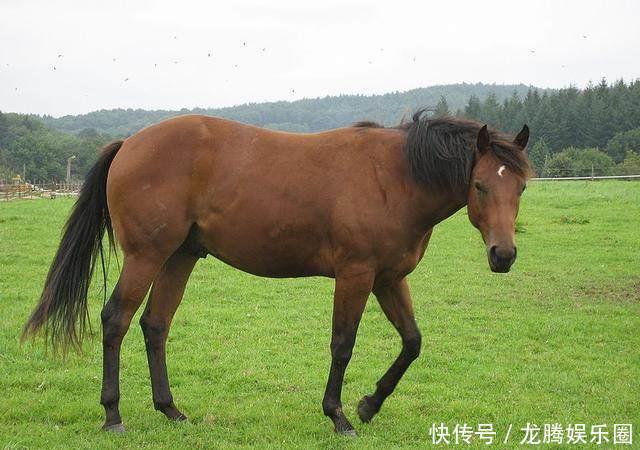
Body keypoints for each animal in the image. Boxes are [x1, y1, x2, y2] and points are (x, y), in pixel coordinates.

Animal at [23, 112, 531, 436]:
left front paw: (369, 405)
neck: (393, 177)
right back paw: (113, 415)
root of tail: (129, 143)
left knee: (155, 325)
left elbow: (412, 342)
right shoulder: (355, 275)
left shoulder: (388, 278)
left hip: (179, 257)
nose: (503, 255)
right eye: (480, 185)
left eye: (522, 187)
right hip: (147, 256)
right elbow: (342, 345)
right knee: (116, 320)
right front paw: (338, 416)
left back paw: (171, 411)